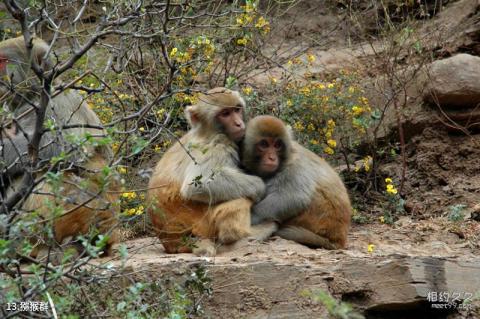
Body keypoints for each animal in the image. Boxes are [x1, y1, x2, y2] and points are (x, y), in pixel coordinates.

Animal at [0, 36, 119, 262]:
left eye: (2, 61)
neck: (32, 93)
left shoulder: (54, 101)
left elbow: (63, 147)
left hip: (89, 212)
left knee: (45, 178)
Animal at [242, 115, 350, 250]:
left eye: (277, 145)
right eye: (264, 144)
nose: (272, 158)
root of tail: (338, 239)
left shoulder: (295, 165)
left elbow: (295, 197)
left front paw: (251, 216)